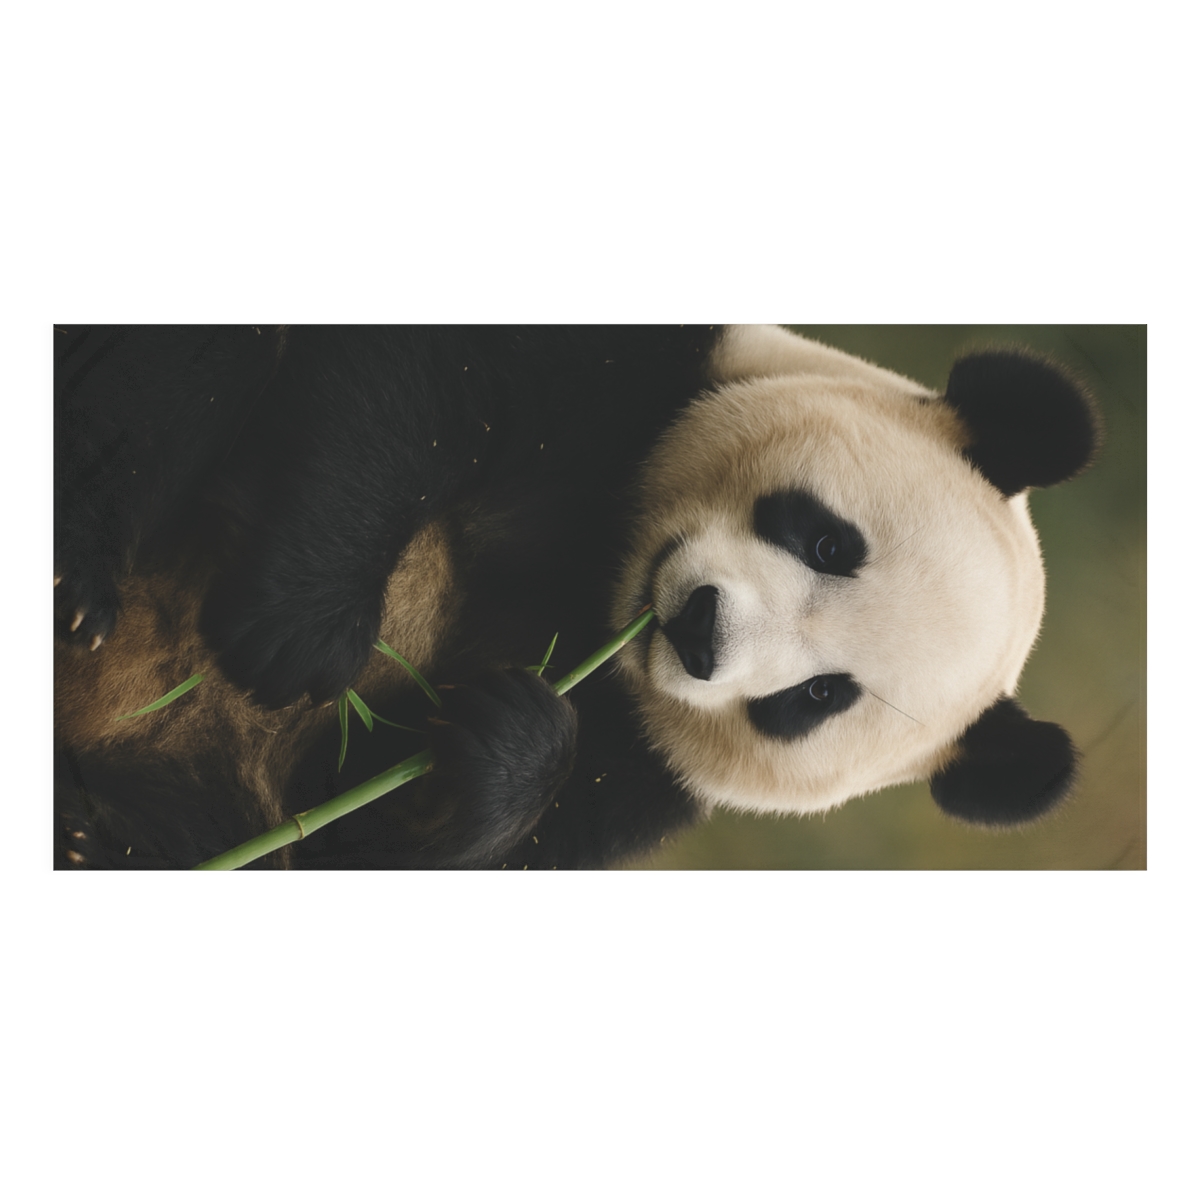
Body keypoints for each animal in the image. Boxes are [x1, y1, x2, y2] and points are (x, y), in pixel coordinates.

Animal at [53, 325, 1098, 869]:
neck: (597, 573)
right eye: (831, 542)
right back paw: (78, 585)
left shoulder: (636, 773)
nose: (698, 633)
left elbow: (341, 845)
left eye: (815, 699)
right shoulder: (642, 369)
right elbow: (429, 388)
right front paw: (300, 629)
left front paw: (509, 745)